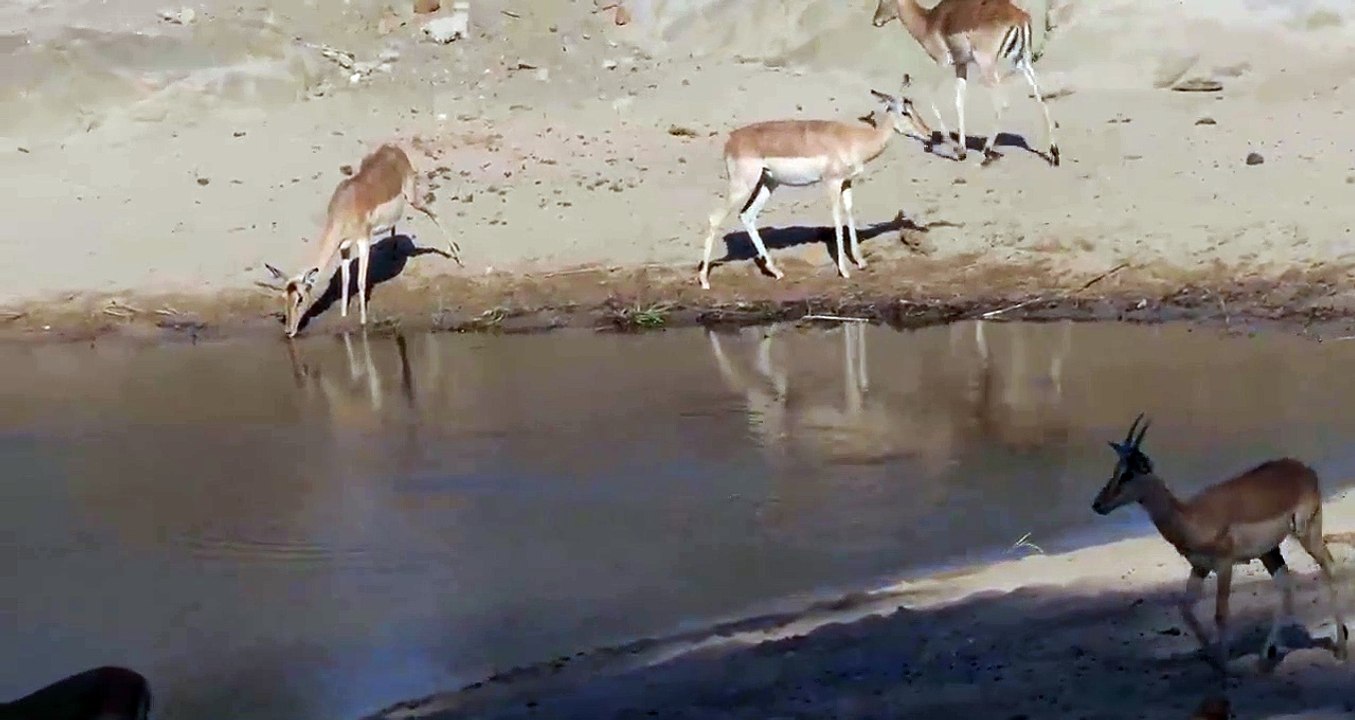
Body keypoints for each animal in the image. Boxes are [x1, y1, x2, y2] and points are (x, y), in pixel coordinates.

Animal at [263, 143, 462, 337]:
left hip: (412, 197)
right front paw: (344, 315)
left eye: (300, 298)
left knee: (433, 213)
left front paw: (363, 321)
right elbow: (345, 280)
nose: (289, 331)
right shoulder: (344, 248)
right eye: (284, 297)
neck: (345, 207)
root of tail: (393, 148)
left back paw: (458, 257)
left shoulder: (363, 241)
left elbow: (360, 281)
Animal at [696, 78, 933, 290]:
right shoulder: (832, 182)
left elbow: (849, 214)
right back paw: (705, 281)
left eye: (914, 108)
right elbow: (837, 218)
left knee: (747, 215)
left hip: (768, 183)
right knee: (714, 218)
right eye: (905, 112)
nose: (930, 134)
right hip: (742, 186)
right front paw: (844, 270)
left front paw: (861, 262)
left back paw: (776, 271)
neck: (855, 140)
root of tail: (732, 140)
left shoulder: (847, 183)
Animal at [871, 0, 1060, 166]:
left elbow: (932, 98)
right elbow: (959, 102)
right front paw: (961, 147)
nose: (876, 20)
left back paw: (987, 152)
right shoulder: (961, 65)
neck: (929, 22)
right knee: (1040, 98)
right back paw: (1054, 153)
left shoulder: (942, 63)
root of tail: (1020, 18)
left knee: (1002, 103)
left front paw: (955, 148)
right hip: (1023, 62)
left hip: (988, 66)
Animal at [1091, 415, 1350, 673]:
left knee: (1329, 567)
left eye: (1128, 474)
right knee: (1285, 584)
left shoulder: (1224, 565)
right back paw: (1265, 658)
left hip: (1307, 533)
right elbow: (1185, 610)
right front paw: (1214, 658)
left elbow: (1221, 614)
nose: (1097, 504)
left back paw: (1340, 650)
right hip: (1269, 552)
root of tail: (1305, 470)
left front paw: (1226, 667)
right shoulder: (1199, 567)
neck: (1191, 517)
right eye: (1116, 470)